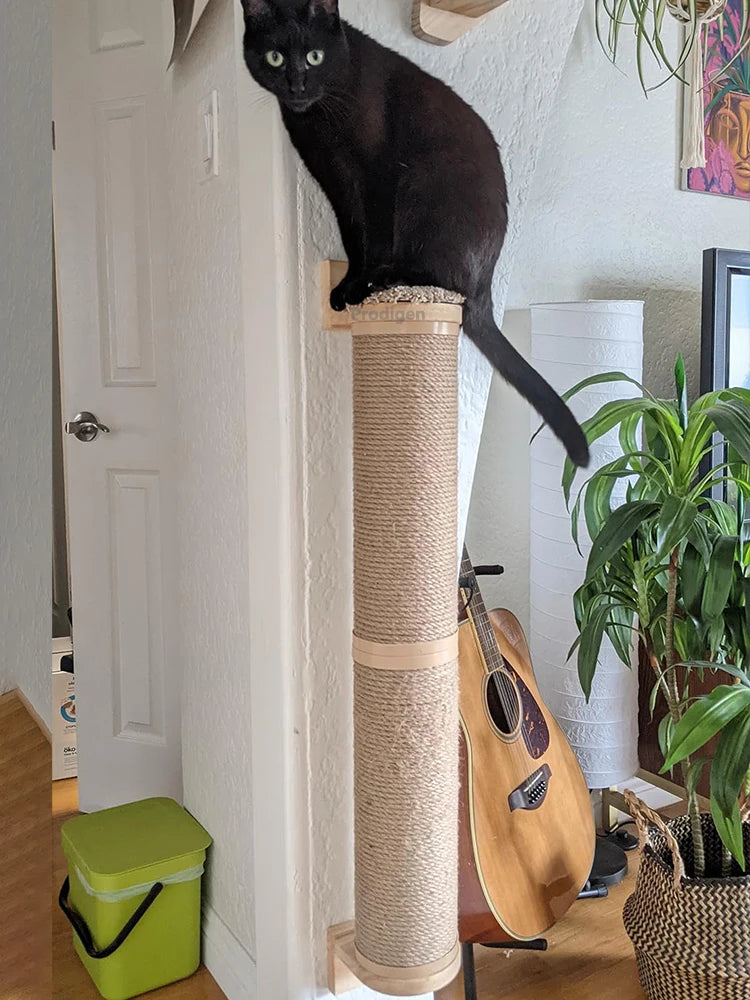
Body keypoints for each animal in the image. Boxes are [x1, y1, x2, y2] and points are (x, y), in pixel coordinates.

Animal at [244, 0, 592, 464]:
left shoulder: (374, 172)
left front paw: (362, 286)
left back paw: (390, 280)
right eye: (275, 57)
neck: (318, 118)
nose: (297, 83)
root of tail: (485, 290)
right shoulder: (334, 182)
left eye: (314, 56)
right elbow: (353, 237)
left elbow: (373, 236)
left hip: (420, 184)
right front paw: (347, 286)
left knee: (440, 276)